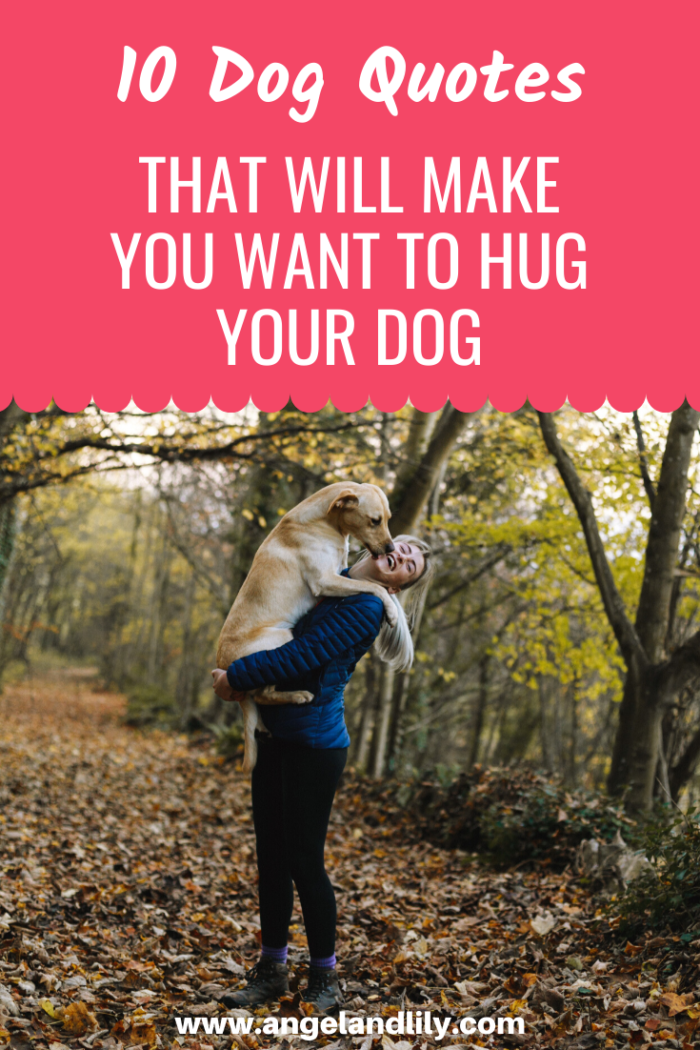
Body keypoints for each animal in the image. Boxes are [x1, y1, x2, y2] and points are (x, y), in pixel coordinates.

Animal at [214, 480, 398, 772]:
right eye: (375, 521)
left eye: (388, 519)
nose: (391, 549)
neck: (325, 522)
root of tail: (224, 664)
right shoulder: (325, 580)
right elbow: (374, 587)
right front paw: (390, 609)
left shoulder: (339, 571)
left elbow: (367, 583)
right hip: (281, 638)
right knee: (264, 694)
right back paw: (297, 696)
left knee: (259, 700)